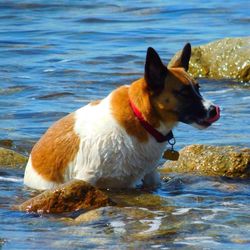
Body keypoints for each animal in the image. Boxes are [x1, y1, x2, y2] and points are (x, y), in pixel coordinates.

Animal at [23, 44, 219, 190]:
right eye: (184, 93)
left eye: (198, 88)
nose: (214, 110)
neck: (140, 119)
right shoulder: (86, 178)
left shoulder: (150, 175)